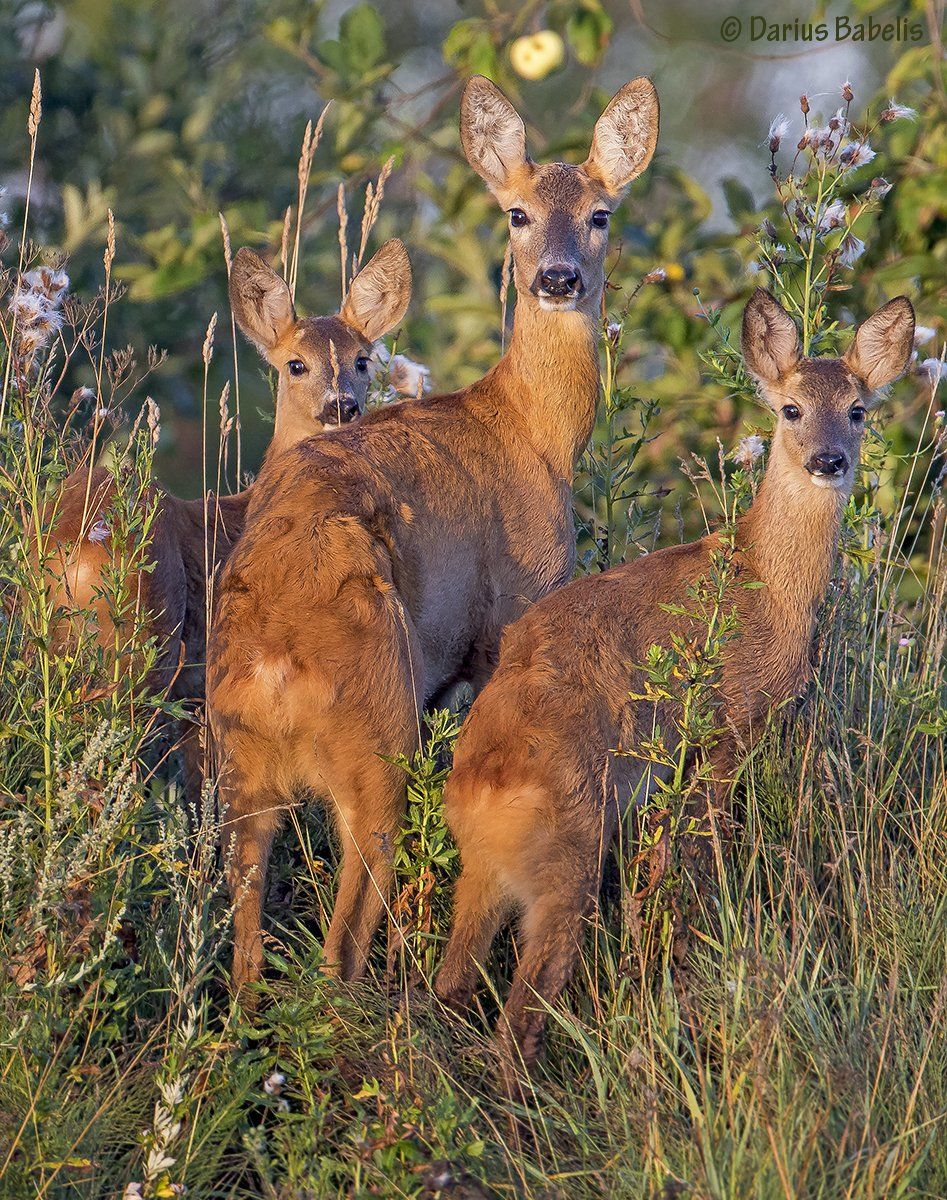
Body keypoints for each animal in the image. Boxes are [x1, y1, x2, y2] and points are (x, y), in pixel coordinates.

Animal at [208, 77, 657, 993]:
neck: (529, 429)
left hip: (241, 765)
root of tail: (275, 660)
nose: (557, 277)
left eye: (599, 213)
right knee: (345, 931)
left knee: (243, 939)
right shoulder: (508, 612)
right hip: (379, 731)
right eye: (517, 213)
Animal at [436, 292, 916, 1080]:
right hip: (566, 860)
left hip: (484, 877)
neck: (765, 580)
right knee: (519, 1013)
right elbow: (696, 862)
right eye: (790, 408)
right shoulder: (730, 724)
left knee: (446, 988)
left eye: (857, 408)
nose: (829, 460)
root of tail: (482, 785)